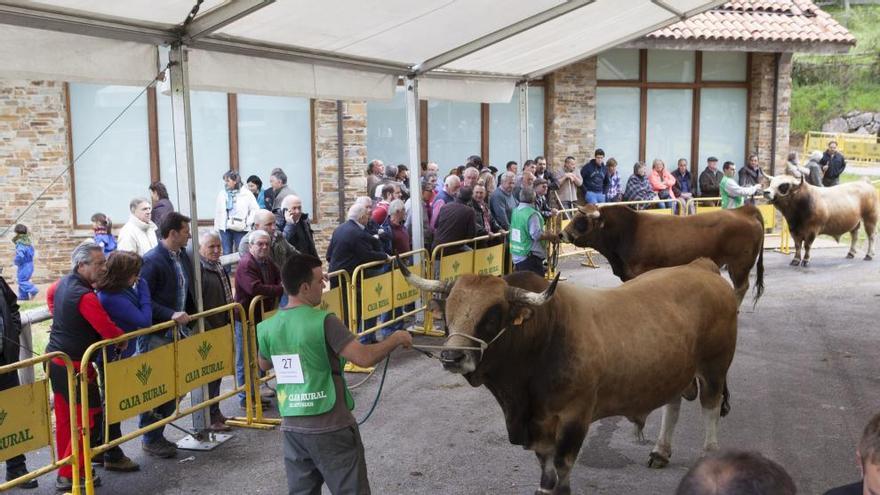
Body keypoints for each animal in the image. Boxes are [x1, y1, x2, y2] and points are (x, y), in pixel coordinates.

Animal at [402, 260, 740, 495]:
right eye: (449, 309)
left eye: (493, 314)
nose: (451, 357)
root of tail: (701, 267)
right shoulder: (539, 424)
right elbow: (546, 468)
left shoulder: (574, 418)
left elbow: (562, 467)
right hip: (675, 369)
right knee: (673, 404)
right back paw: (660, 451)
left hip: (714, 368)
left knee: (710, 408)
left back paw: (708, 456)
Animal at [564, 204, 764, 306]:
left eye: (582, 221)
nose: (561, 234)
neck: (628, 230)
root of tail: (743, 210)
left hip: (740, 264)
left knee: (741, 287)